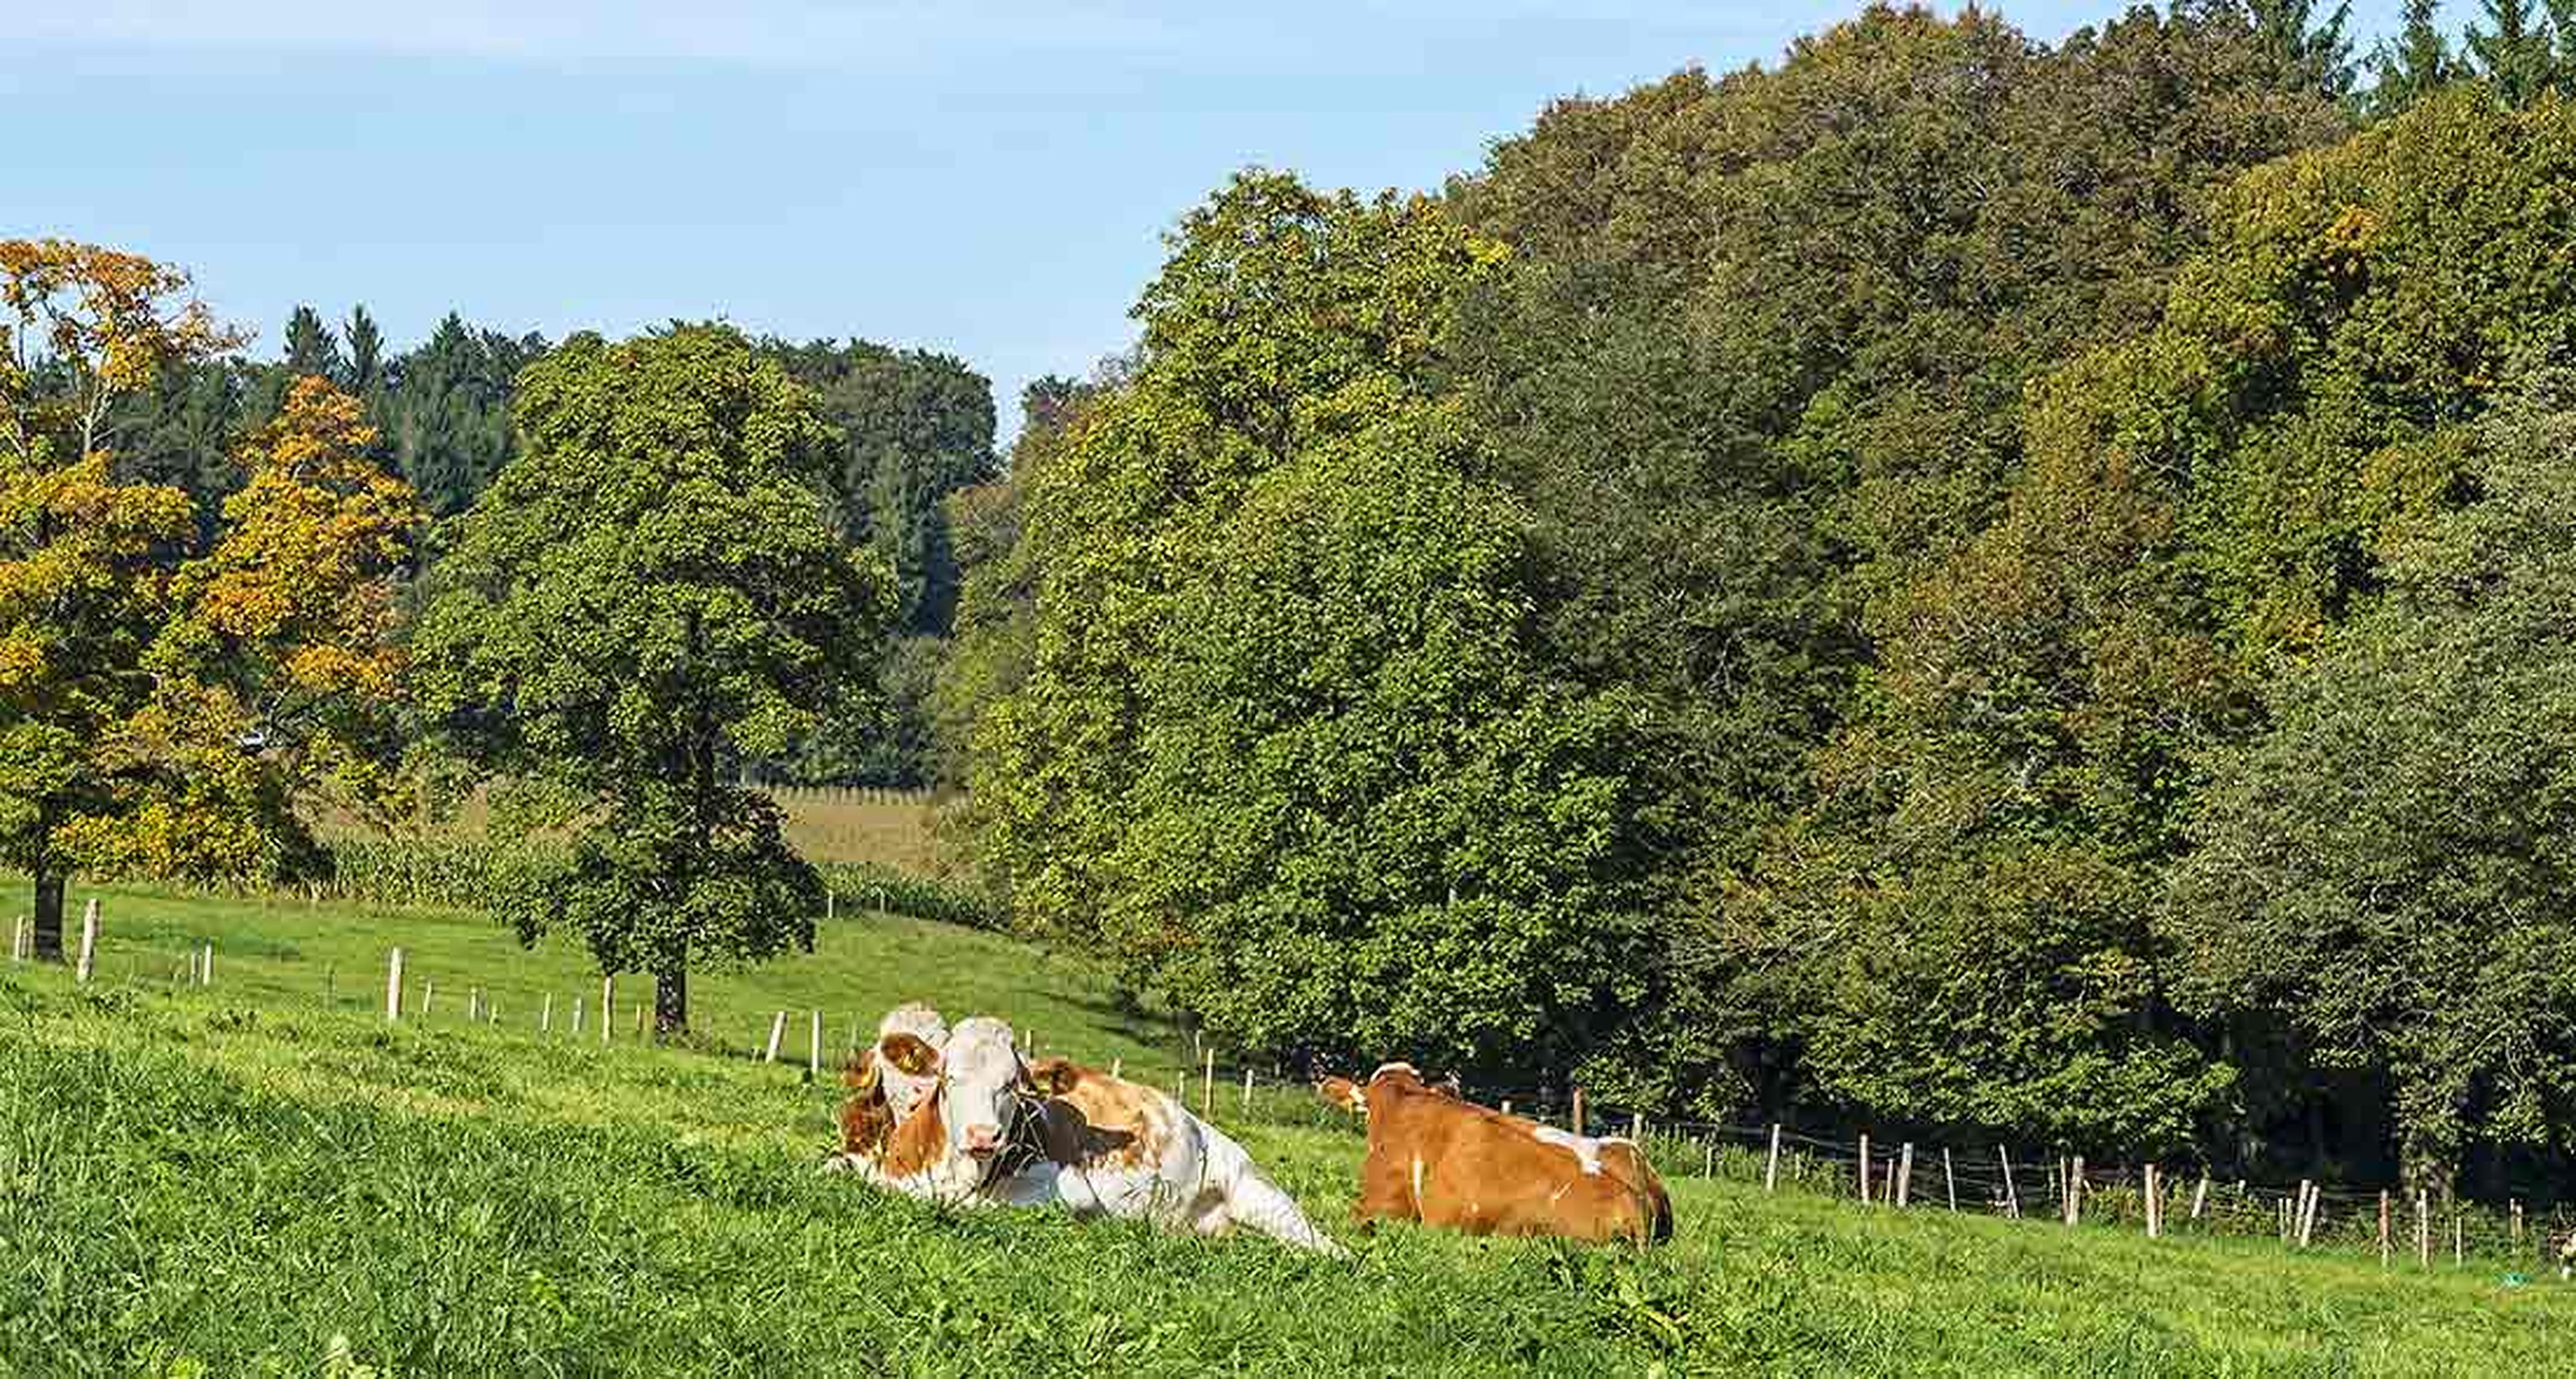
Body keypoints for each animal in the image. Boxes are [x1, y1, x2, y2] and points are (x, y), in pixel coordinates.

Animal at [829, 1008, 1345, 1255]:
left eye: (1012, 1085)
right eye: (949, 1078)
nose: (983, 1136)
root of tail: (1195, 1122)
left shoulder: (1070, 1187)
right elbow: (842, 1166)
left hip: (1258, 1191)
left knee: (1327, 1248)